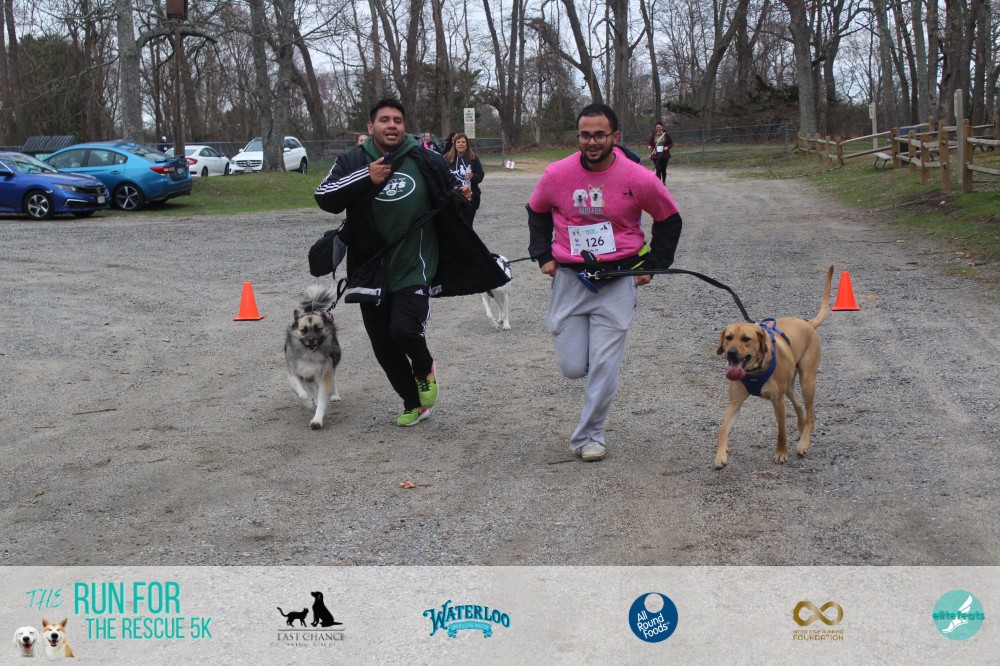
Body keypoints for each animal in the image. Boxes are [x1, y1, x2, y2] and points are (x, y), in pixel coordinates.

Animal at [285, 285, 343, 429]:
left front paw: (317, 420)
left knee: (333, 380)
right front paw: (310, 403)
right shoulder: (295, 374)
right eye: (303, 330)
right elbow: (303, 393)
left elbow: (322, 399)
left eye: (317, 328)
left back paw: (334, 395)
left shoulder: (324, 375)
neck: (309, 355)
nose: (311, 340)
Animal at [714, 266, 834, 469]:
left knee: (811, 414)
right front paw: (720, 455)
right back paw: (801, 427)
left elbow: (781, 432)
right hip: (789, 386)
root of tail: (808, 323)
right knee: (799, 405)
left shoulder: (778, 401)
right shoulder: (735, 402)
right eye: (728, 337)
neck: (755, 371)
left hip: (807, 381)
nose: (731, 353)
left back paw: (804, 443)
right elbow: (722, 431)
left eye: (746, 339)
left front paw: (781, 453)